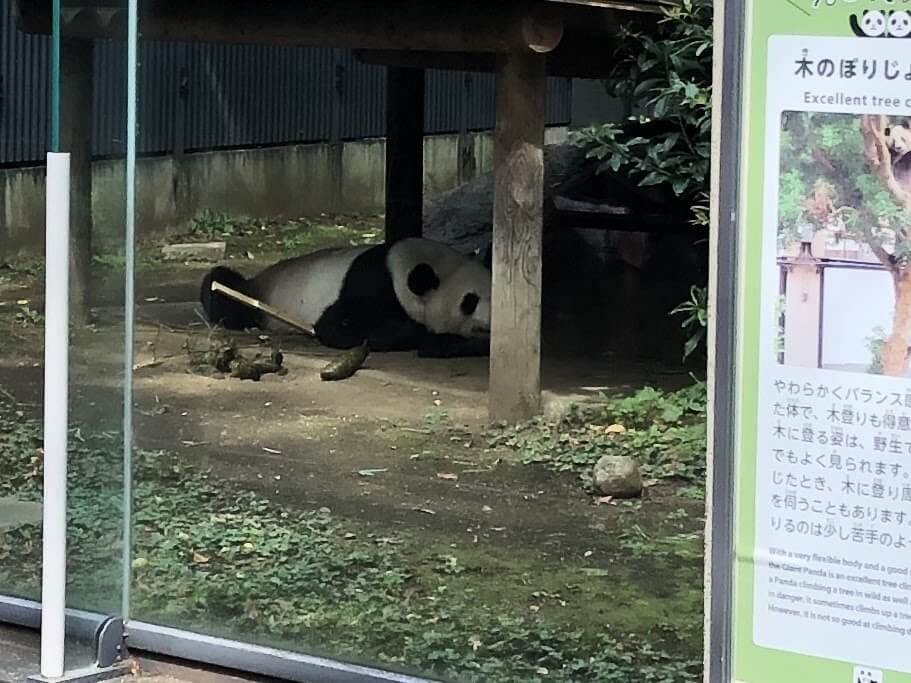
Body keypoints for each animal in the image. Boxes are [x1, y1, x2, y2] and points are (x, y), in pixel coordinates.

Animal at [200, 236, 492, 358]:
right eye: (469, 301)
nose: (491, 324)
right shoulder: (371, 285)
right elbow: (336, 327)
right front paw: (421, 334)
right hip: (255, 297)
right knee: (221, 288)